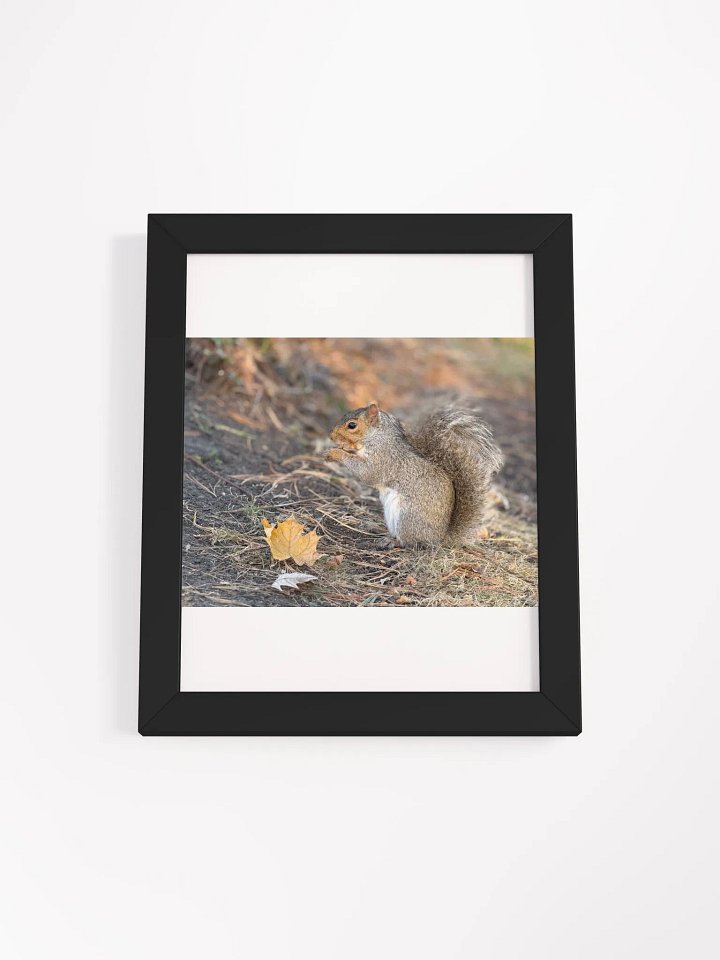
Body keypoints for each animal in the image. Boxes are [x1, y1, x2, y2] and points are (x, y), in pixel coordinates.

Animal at [325, 402, 503, 547]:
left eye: (352, 425)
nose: (331, 436)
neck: (377, 437)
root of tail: (439, 538)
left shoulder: (383, 458)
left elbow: (366, 472)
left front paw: (336, 453)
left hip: (408, 518)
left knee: (409, 541)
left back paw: (392, 541)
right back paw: (375, 527)